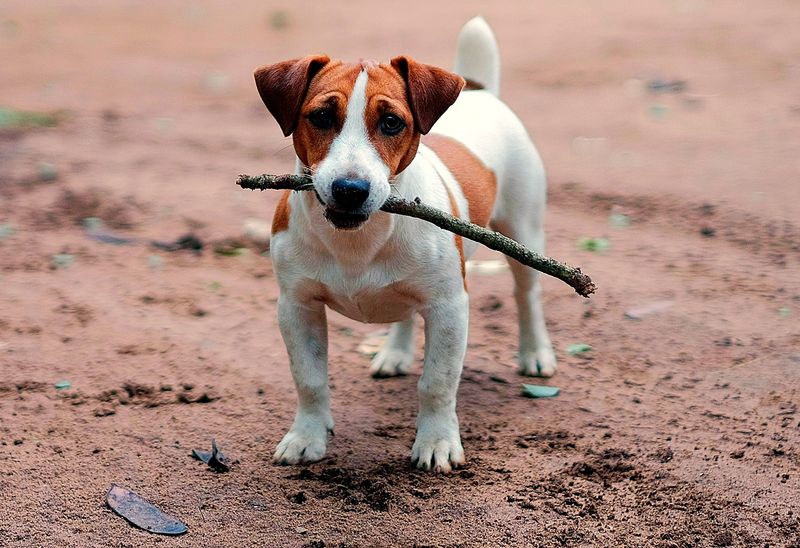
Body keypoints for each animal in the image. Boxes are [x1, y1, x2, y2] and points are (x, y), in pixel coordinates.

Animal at [253, 17, 552, 470]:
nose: (350, 189)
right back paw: (395, 353)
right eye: (321, 116)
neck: (358, 240)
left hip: (522, 233)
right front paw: (306, 437)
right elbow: (309, 379)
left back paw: (535, 353)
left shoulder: (449, 308)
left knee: (527, 295)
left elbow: (437, 383)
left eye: (392, 122)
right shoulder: (296, 306)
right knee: (405, 310)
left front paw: (437, 442)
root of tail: (478, 89)